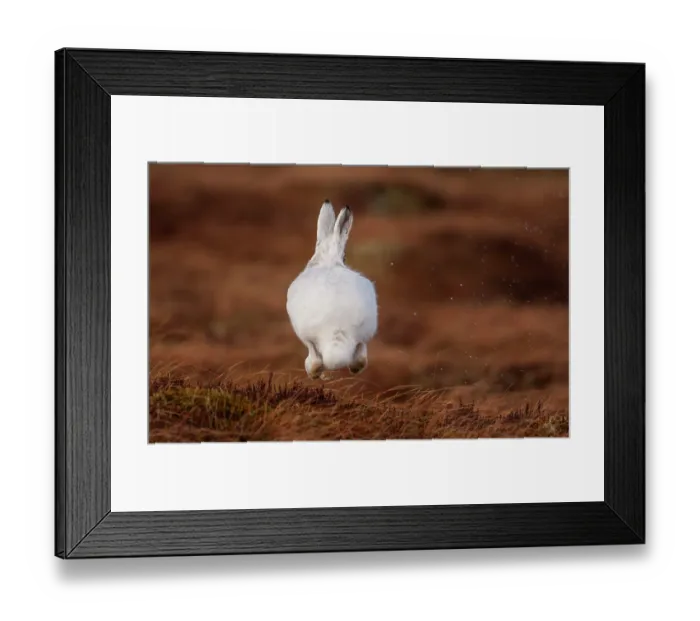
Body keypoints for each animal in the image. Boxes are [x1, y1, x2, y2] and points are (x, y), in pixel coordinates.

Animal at [286, 200, 378, 380]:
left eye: (344, 257)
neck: (328, 260)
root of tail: (338, 328)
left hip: (307, 332)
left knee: (315, 359)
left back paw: (313, 372)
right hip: (366, 330)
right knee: (361, 356)